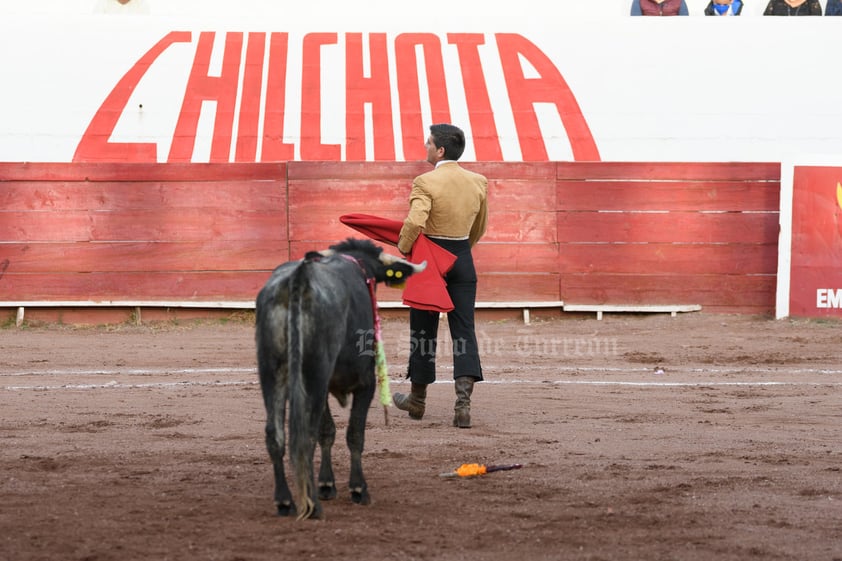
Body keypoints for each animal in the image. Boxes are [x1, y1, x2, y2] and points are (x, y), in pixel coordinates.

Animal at [254, 237, 426, 520]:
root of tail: (298, 280)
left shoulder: (323, 387)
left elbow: (328, 431)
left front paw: (327, 484)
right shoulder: (365, 383)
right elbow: (354, 433)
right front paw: (358, 489)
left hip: (271, 371)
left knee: (275, 434)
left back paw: (285, 501)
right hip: (313, 373)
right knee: (305, 436)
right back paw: (312, 506)